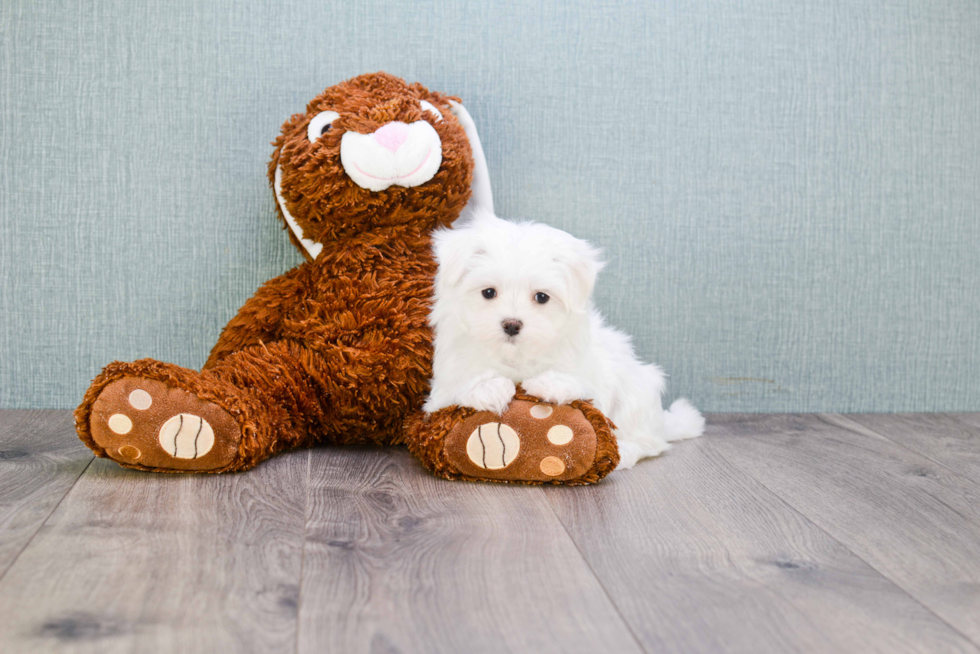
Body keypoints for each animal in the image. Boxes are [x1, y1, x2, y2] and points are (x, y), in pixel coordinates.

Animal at [424, 211, 704, 472]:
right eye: (489, 292)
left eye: (542, 297)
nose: (512, 324)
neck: (516, 356)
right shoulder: (443, 386)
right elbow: (461, 383)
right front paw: (488, 387)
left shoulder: (590, 371)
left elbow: (577, 380)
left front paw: (549, 383)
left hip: (637, 391)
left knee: (648, 441)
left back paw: (624, 451)